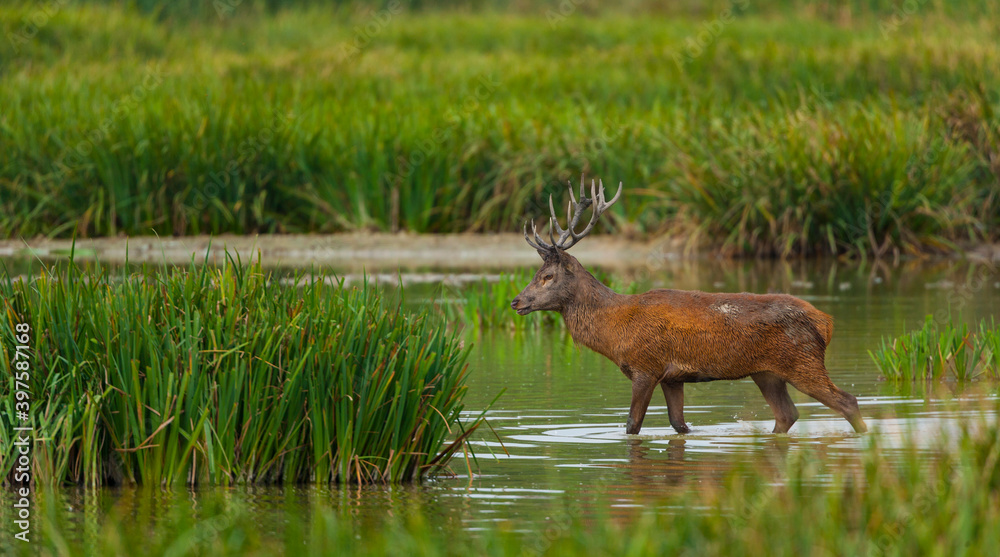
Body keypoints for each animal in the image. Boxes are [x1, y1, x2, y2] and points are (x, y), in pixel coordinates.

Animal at [510, 177, 868, 435]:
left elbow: (632, 425)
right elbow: (679, 424)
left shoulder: (646, 367)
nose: (516, 301)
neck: (614, 331)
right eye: (536, 274)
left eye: (547, 276)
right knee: (787, 414)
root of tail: (825, 322)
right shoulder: (673, 377)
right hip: (767, 372)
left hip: (803, 361)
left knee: (847, 401)